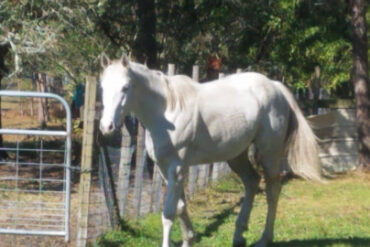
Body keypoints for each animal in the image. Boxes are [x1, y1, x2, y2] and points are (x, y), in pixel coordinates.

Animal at [99, 54, 322, 247]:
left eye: (125, 87)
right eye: (102, 87)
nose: (106, 126)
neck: (167, 110)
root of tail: (275, 86)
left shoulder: (177, 168)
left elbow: (168, 213)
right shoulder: (164, 169)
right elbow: (180, 207)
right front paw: (189, 239)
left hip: (270, 153)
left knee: (272, 191)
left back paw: (264, 239)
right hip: (236, 156)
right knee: (252, 182)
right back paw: (239, 236)